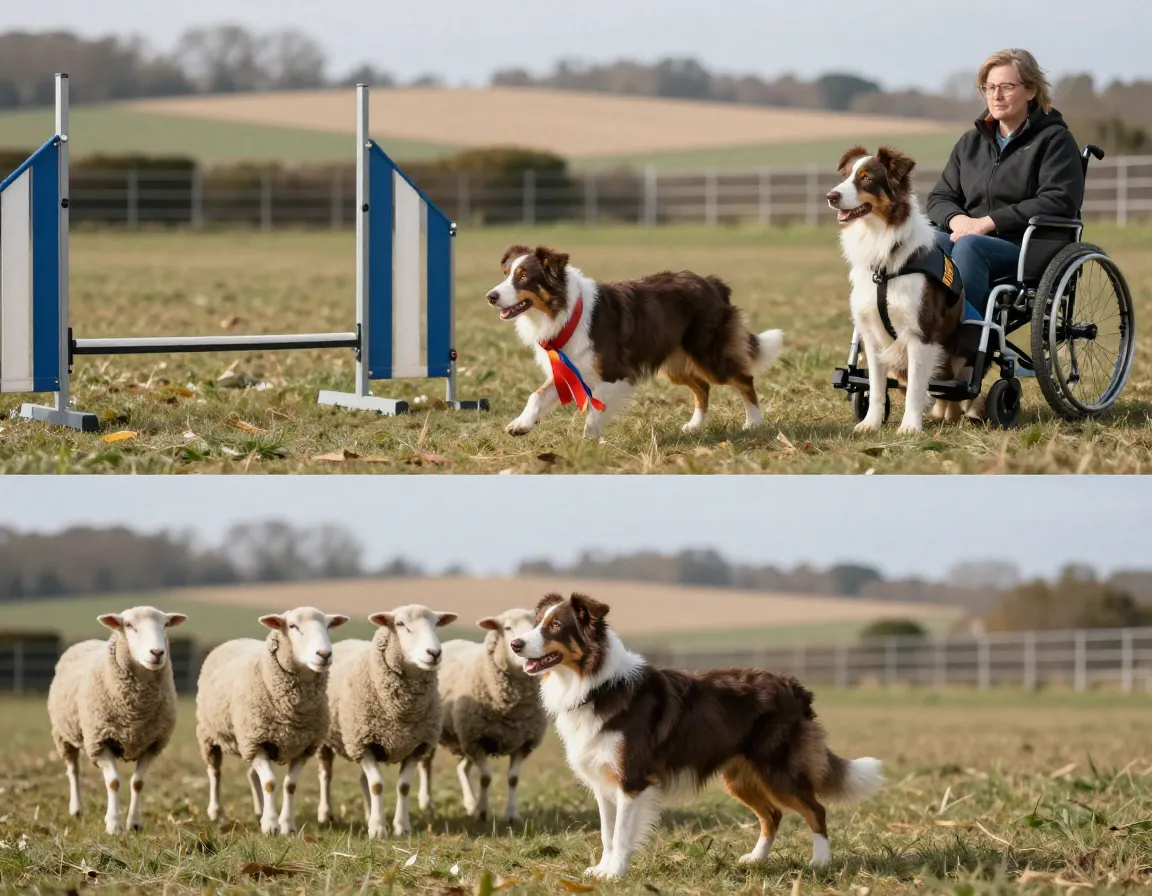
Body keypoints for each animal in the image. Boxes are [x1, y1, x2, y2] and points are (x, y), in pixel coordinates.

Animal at [47, 606, 188, 835]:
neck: (135, 712)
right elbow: (113, 782)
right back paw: (76, 810)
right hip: (63, 734)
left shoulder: (152, 743)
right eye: (129, 625)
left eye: (166, 624)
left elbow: (138, 783)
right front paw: (114, 825)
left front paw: (135, 823)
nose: (157, 653)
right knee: (73, 770)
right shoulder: (100, 740)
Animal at [195, 607, 348, 836]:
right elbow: (269, 782)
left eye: (328, 626)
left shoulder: (303, 747)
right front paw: (271, 825)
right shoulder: (256, 740)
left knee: (251, 774)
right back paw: (216, 812)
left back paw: (259, 810)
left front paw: (287, 825)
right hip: (209, 734)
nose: (324, 655)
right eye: (292, 626)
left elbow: (289, 785)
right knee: (214, 772)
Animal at [317, 604, 458, 839]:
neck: (401, 712)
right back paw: (325, 814)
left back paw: (368, 813)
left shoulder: (416, 746)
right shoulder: (362, 743)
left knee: (361, 780)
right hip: (327, 741)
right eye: (400, 624)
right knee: (326, 775)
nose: (434, 653)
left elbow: (403, 786)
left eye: (436, 623)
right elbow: (377, 785)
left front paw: (401, 827)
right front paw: (378, 828)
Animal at [417, 608, 547, 823]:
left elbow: (513, 778)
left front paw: (512, 814)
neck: (512, 707)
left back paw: (470, 803)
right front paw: (483, 811)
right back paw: (426, 802)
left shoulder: (524, 743)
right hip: (436, 730)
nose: (523, 648)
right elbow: (486, 777)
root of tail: (451, 642)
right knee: (426, 765)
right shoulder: (475, 740)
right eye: (507, 628)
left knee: (462, 768)